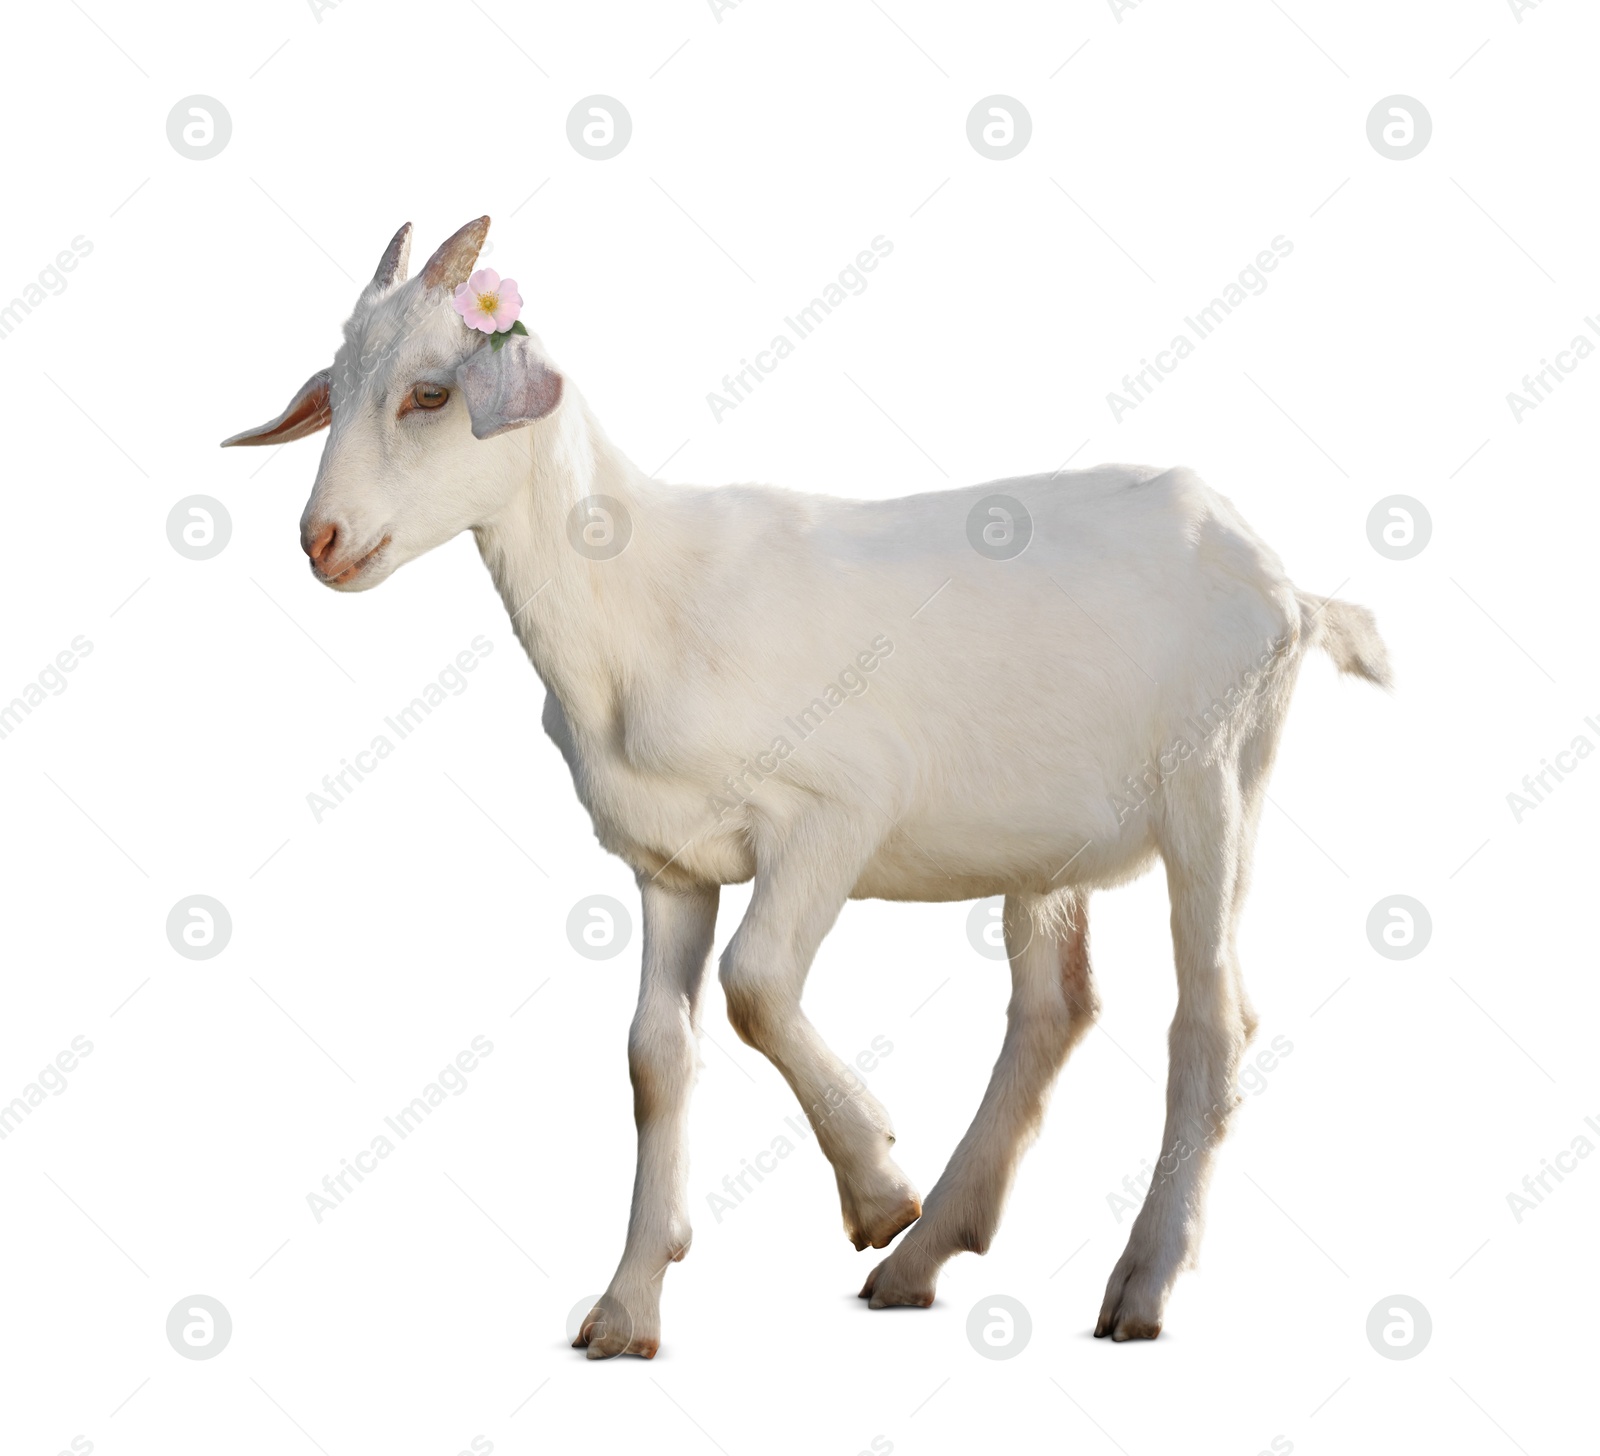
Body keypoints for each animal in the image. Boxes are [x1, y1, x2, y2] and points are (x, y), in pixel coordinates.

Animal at [222, 216, 1388, 1356]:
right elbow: (655, 1055)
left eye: (430, 393)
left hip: (1215, 778)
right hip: (1045, 840)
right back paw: (925, 1259)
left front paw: (874, 1183)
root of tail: (1284, 583)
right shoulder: (667, 863)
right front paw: (627, 1308)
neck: (640, 601)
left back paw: (1135, 1282)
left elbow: (756, 982)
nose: (321, 540)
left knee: (1211, 1017)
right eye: (333, 385)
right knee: (1053, 1010)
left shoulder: (836, 811)